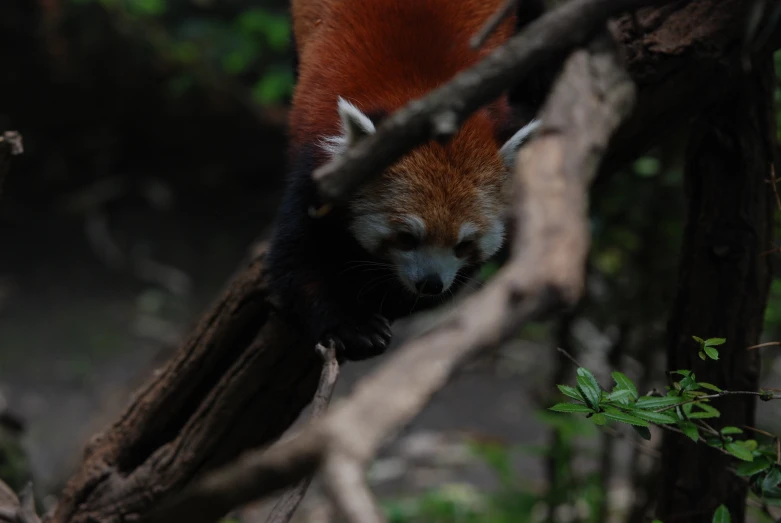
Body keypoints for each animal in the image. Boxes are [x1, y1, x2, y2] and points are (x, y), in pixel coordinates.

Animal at [266, 0, 536, 360]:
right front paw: (353, 325)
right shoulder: (316, 170)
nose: (431, 283)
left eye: (464, 244)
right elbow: (296, 265)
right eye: (406, 238)